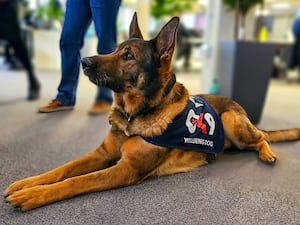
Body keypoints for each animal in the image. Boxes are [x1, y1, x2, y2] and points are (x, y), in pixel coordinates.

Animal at [4, 13, 300, 211]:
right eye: (114, 49)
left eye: (128, 56)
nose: (83, 62)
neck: (132, 116)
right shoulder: (102, 154)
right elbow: (62, 169)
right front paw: (28, 183)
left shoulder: (125, 170)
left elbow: (76, 181)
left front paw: (33, 195)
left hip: (231, 121)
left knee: (261, 138)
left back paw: (267, 154)